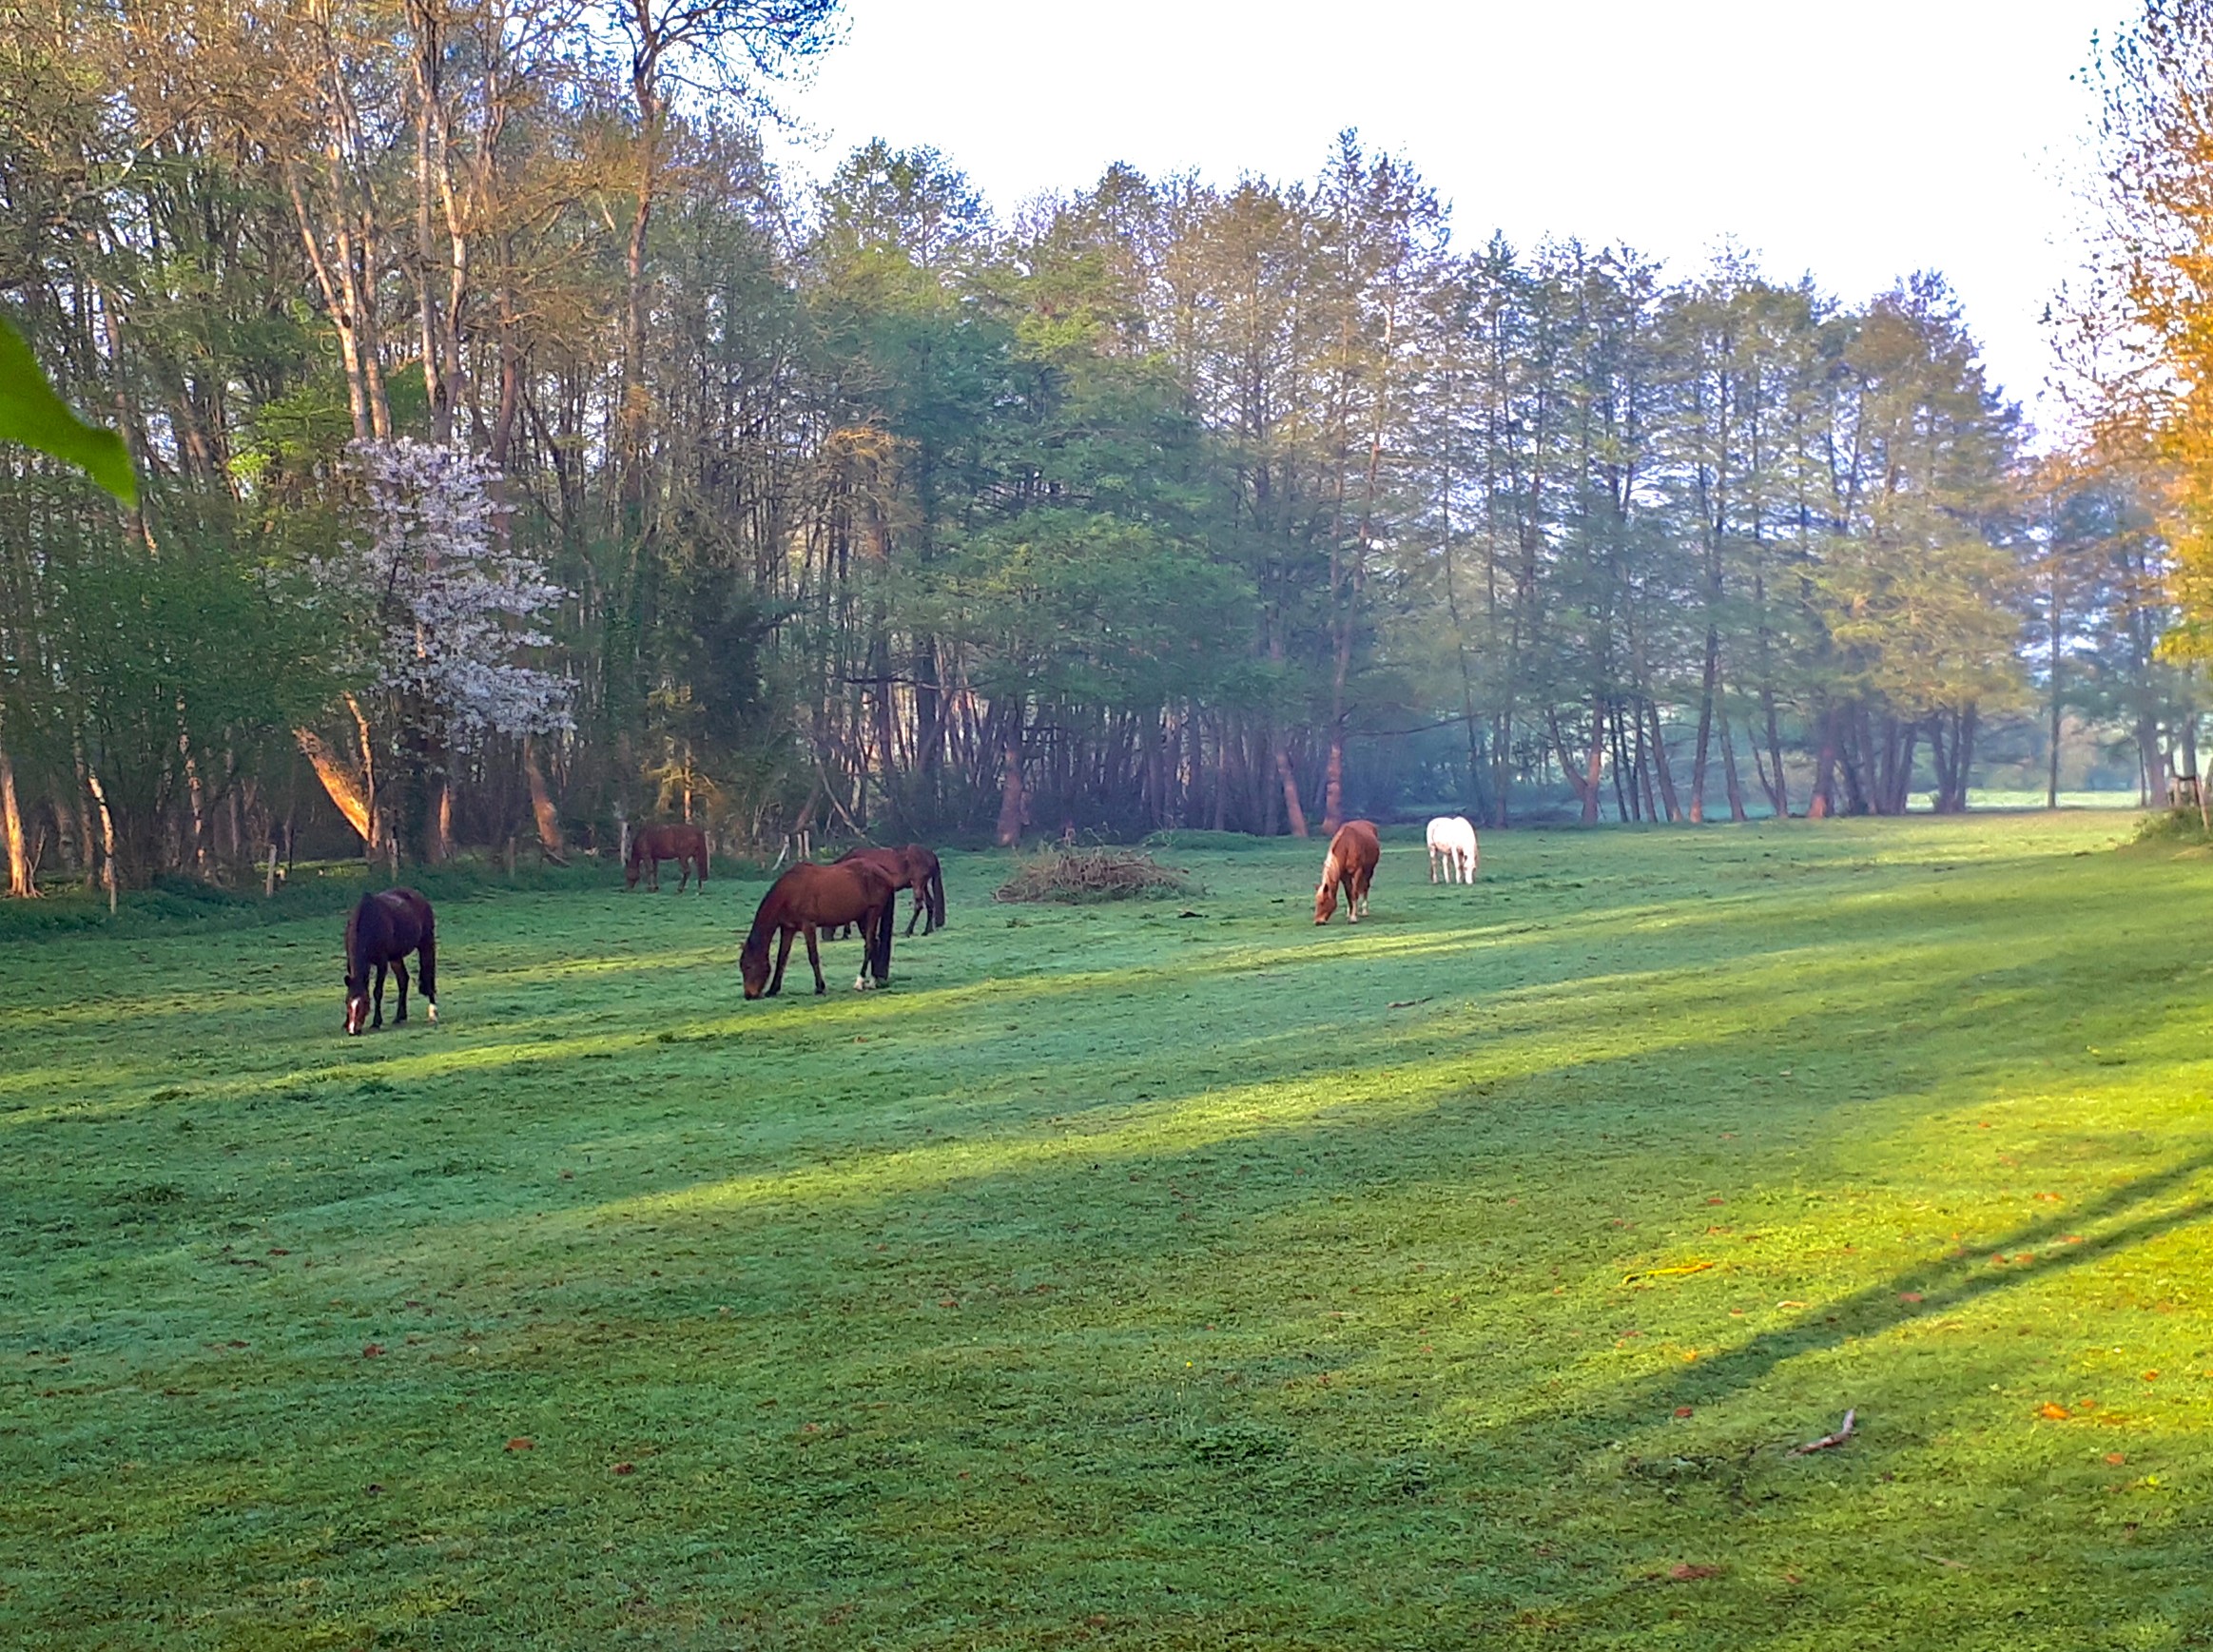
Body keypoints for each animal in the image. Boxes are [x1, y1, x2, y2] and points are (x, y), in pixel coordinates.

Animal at [340, 890, 436, 1027]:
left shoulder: (382, 963)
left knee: (429, 975)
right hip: (396, 957)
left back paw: (433, 1012)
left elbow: (377, 991)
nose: (354, 1029)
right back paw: (400, 1016)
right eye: (347, 1002)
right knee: (403, 980)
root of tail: (419, 896)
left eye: (365, 1002)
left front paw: (376, 1021)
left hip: (426, 944)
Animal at [743, 854, 898, 996]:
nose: (749, 995)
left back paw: (860, 982)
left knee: (869, 945)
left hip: (872, 913)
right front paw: (773, 989)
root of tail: (885, 874)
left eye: (748, 966)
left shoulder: (808, 926)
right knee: (874, 943)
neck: (790, 891)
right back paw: (873, 981)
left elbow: (813, 957)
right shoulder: (788, 929)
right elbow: (782, 958)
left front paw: (819, 987)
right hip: (862, 919)